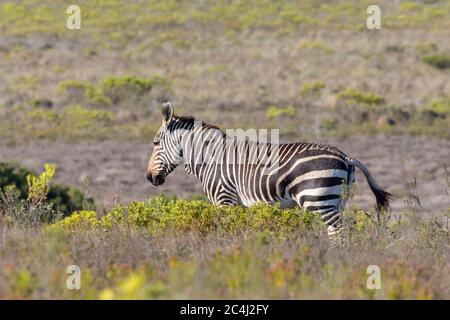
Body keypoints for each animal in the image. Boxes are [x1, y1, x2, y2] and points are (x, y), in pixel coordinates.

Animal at [147, 102, 390, 242]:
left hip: (318, 199)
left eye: (155, 143)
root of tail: (345, 156)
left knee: (337, 233)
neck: (210, 158)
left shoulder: (224, 200)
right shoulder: (238, 205)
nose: (150, 178)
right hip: (338, 200)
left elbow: (225, 232)